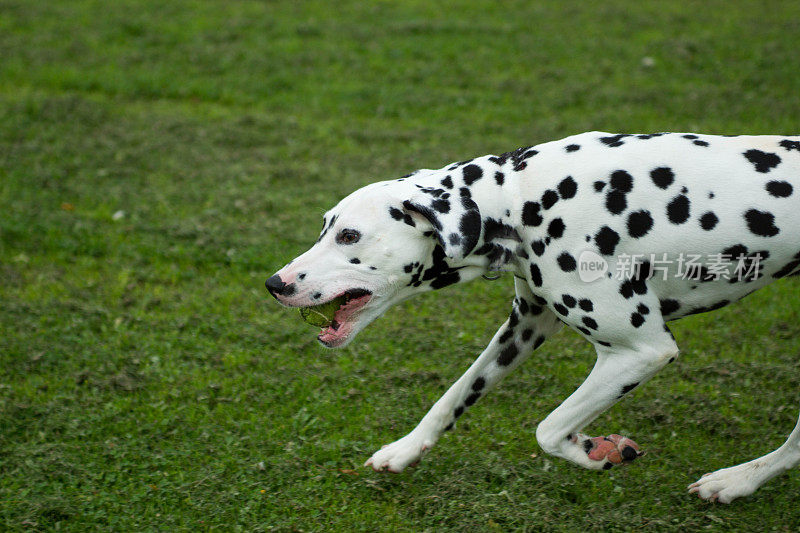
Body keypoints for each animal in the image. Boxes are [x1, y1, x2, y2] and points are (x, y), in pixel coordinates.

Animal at [268, 131, 800, 500]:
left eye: (349, 236)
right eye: (325, 227)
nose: (275, 284)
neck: (521, 201)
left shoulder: (640, 351)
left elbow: (548, 430)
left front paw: (595, 451)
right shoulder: (525, 324)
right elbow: (454, 394)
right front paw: (403, 450)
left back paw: (736, 481)